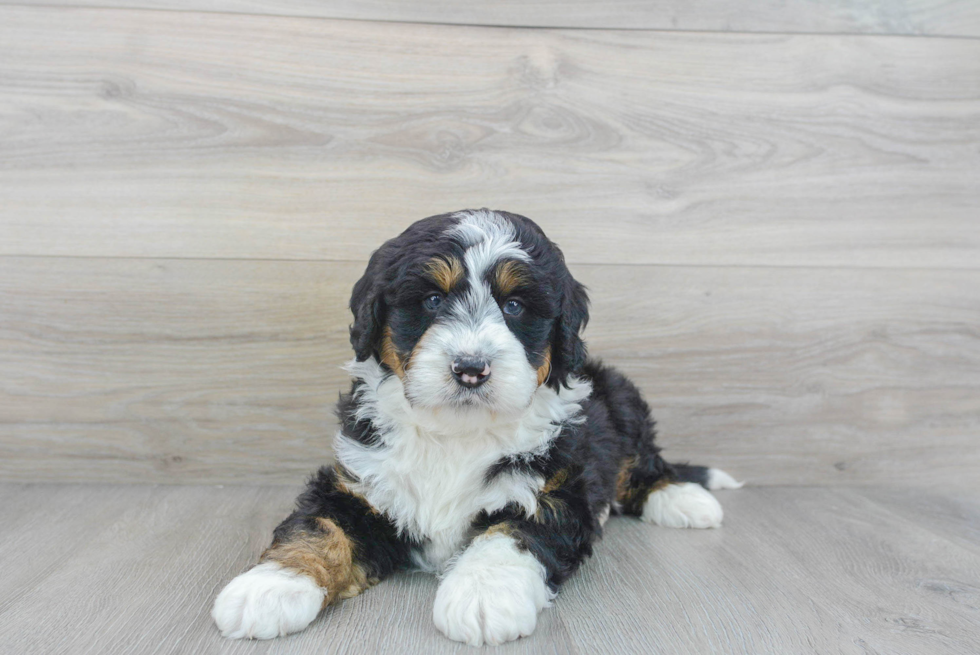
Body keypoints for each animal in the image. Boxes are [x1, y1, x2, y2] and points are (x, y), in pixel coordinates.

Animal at [211, 209, 740, 644]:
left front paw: (482, 597)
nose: (470, 368)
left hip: (622, 398)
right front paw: (270, 587)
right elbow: (319, 525)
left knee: (642, 462)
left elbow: (508, 536)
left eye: (514, 307)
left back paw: (683, 497)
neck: (456, 432)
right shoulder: (359, 480)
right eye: (430, 299)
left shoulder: (551, 492)